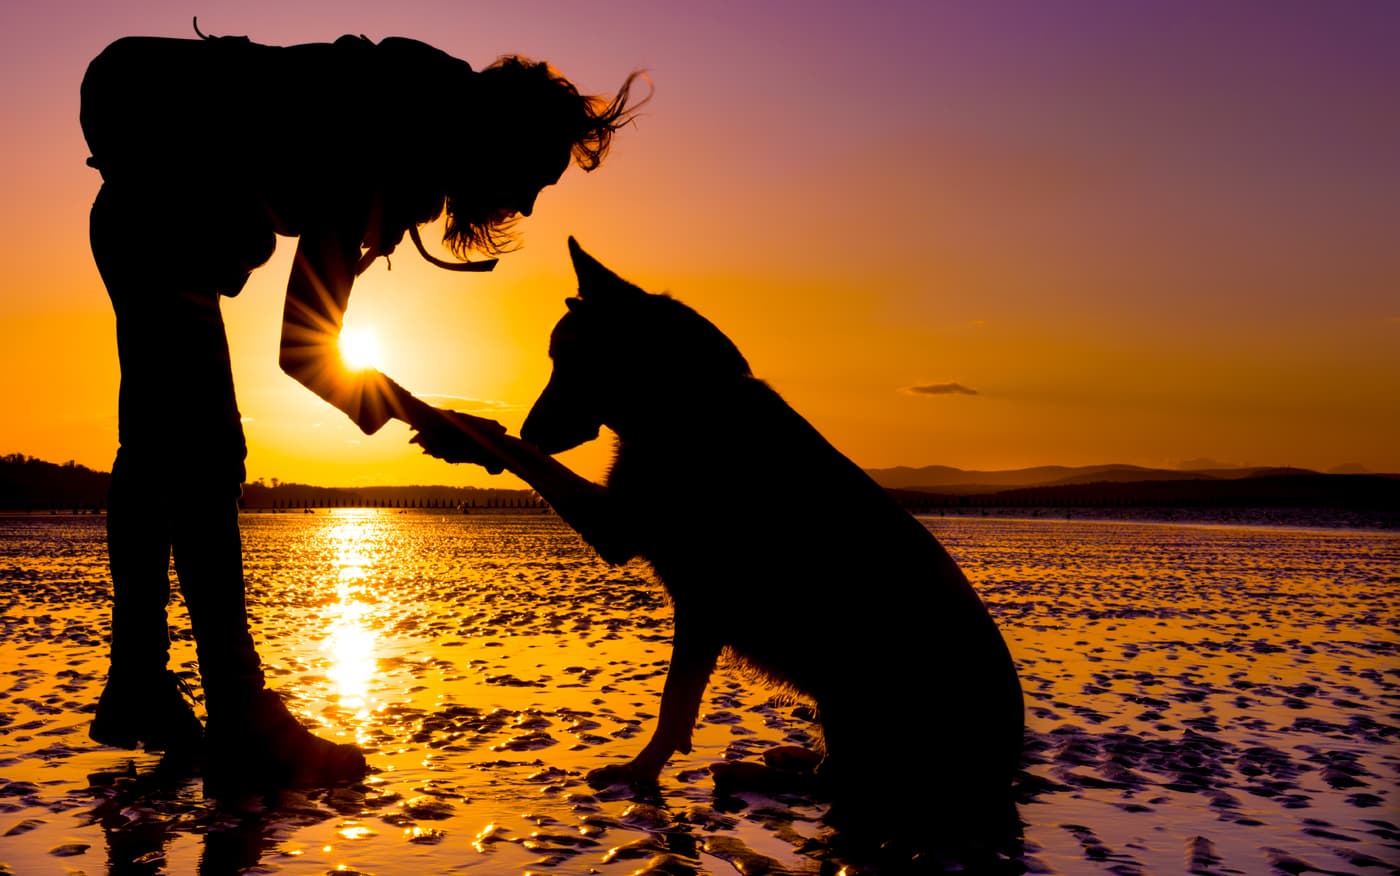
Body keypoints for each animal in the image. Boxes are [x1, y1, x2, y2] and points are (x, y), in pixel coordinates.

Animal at [408, 239, 1024, 834]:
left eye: (569, 358)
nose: (532, 426)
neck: (687, 400)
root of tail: (1004, 776)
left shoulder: (658, 569)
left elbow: (674, 703)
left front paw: (638, 773)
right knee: (842, 774)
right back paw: (787, 758)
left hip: (855, 681)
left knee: (847, 784)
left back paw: (748, 772)